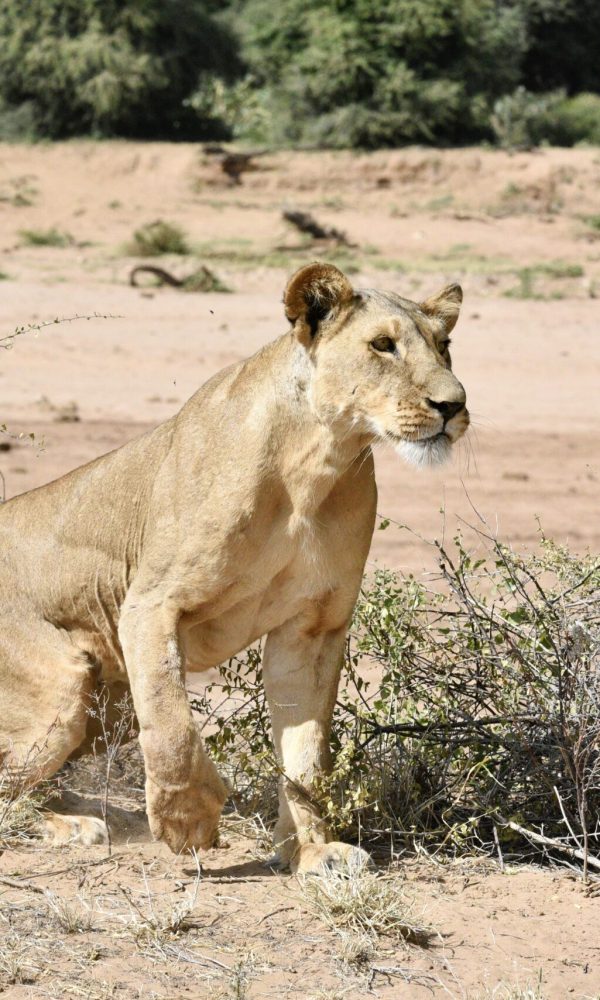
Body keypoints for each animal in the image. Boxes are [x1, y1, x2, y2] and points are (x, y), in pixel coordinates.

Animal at [0, 262, 469, 872]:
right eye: (382, 345)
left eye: (445, 346)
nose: (453, 405)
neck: (317, 462)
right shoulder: (148, 604)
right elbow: (173, 723)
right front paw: (188, 818)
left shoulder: (311, 628)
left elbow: (306, 757)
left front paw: (313, 852)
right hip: (63, 686)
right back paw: (74, 826)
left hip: (113, 705)